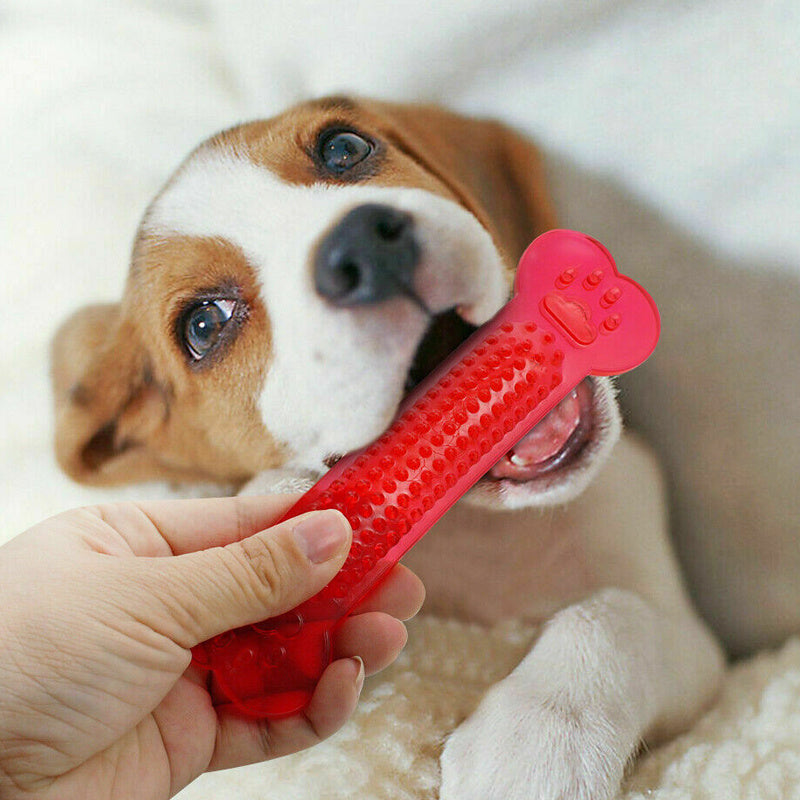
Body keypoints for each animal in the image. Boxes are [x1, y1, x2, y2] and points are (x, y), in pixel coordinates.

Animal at [50, 98, 724, 800]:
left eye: (344, 147)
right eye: (205, 325)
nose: (363, 245)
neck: (490, 538)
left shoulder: (695, 641)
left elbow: (615, 615)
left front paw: (538, 745)